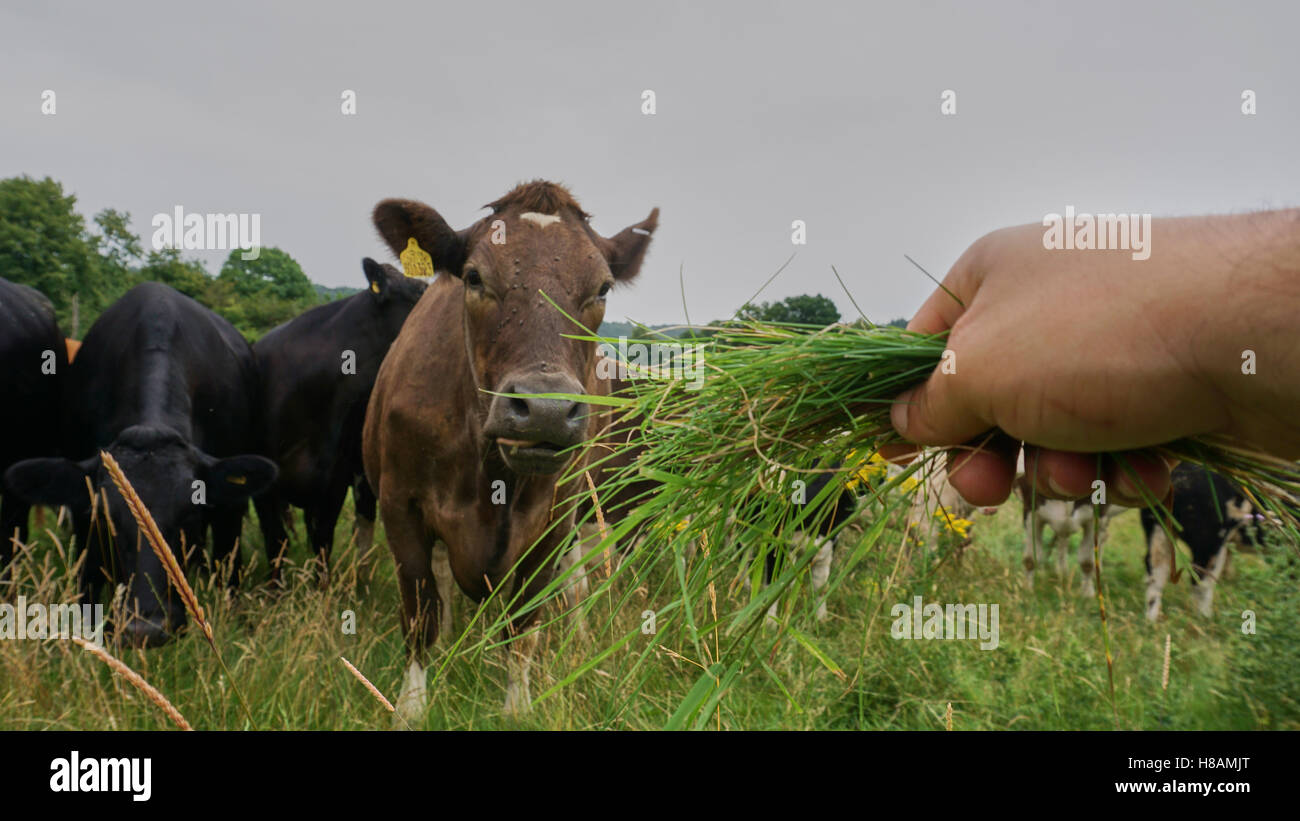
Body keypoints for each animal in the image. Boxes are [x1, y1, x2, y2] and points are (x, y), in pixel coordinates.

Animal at [3, 283, 274, 646]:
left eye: (190, 515)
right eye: (107, 517)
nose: (148, 629)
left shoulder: (228, 508)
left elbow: (228, 572)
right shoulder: (82, 509)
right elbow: (88, 582)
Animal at [256, 257, 428, 584]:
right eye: (419, 292)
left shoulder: (334, 479)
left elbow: (323, 540)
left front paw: (321, 587)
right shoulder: (264, 484)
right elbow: (276, 540)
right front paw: (274, 589)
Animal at [364, 180, 650, 717]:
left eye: (602, 288)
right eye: (474, 277)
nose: (544, 410)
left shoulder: (553, 522)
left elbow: (524, 623)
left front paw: (518, 706)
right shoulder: (399, 506)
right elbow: (420, 614)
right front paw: (411, 708)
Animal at [1144, 465, 1263, 618]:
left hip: (1157, 527)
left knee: (1156, 573)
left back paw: (1152, 621)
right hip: (1209, 540)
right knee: (1201, 580)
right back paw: (1206, 619)